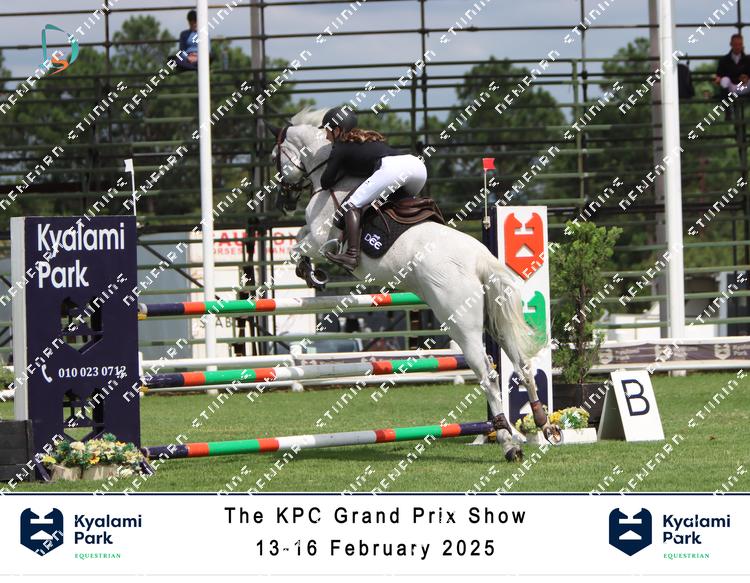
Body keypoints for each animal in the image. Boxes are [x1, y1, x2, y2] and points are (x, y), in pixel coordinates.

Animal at [266, 108, 561, 460]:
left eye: (275, 157)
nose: (283, 198)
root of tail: (480, 259)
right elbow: (298, 237)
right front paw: (312, 273)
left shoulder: (320, 235)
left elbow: (300, 246)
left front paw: (310, 272)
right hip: (495, 320)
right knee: (523, 366)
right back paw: (544, 425)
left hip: (461, 324)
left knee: (488, 376)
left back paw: (508, 442)